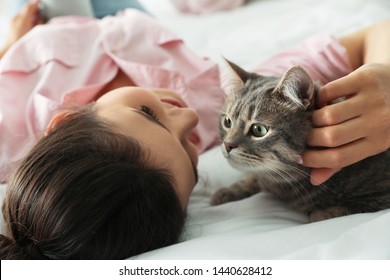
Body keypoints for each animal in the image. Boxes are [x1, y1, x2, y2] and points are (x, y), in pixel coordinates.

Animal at [213, 58, 390, 221]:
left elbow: (344, 208)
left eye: (259, 130)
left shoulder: (381, 193)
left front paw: (322, 212)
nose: (227, 145)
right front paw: (229, 190)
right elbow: (251, 177)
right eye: (227, 122)